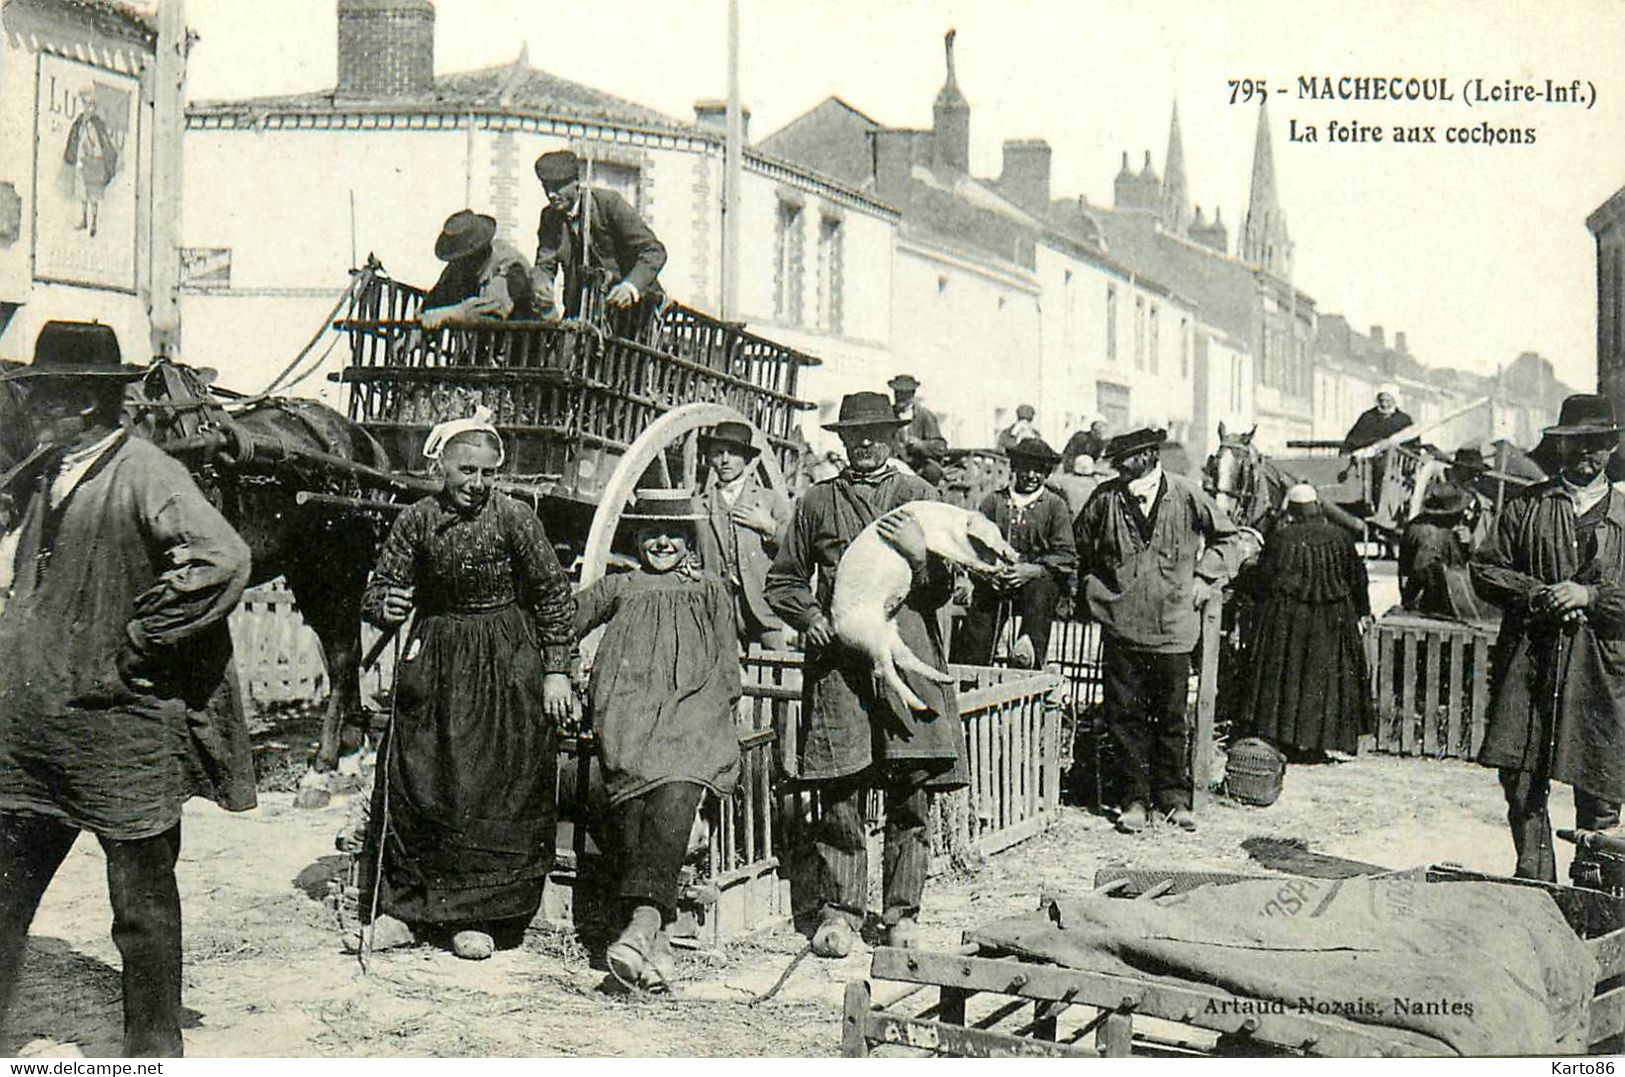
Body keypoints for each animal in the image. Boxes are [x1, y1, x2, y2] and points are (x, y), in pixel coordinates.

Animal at [0, 362, 390, 808]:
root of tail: (359, 439)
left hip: (334, 564)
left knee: (343, 656)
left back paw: (322, 768)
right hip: (307, 569)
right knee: (344, 649)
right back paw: (352, 750)